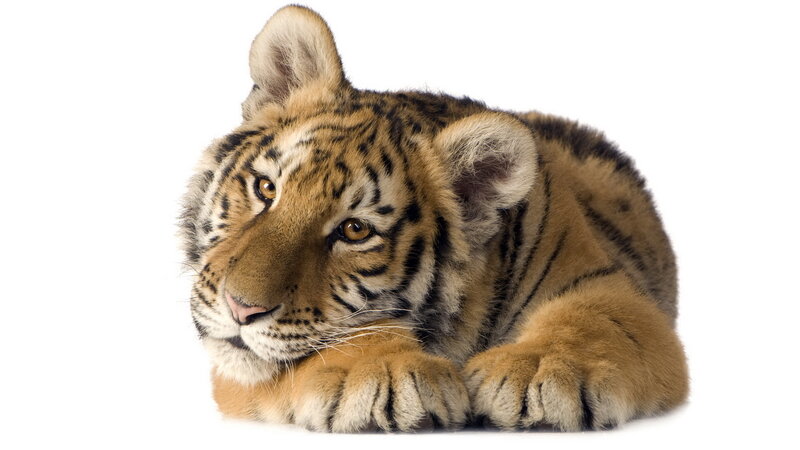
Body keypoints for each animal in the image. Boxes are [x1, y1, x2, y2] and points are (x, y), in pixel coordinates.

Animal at [180, 5, 688, 432]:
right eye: (266, 189)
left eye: (355, 230)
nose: (240, 309)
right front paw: (388, 371)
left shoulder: (612, 289)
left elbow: (594, 321)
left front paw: (537, 369)